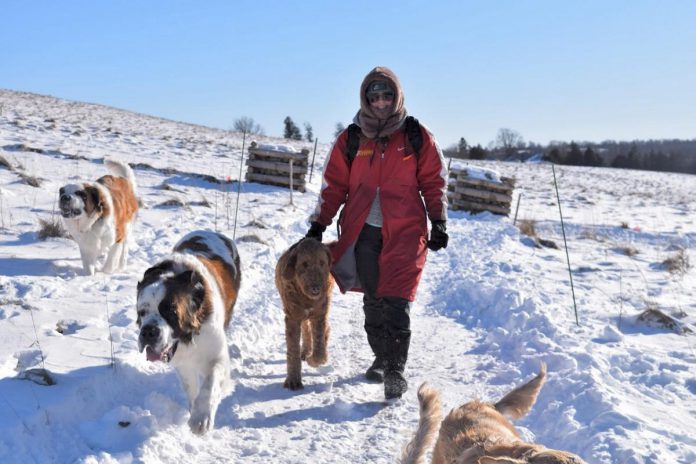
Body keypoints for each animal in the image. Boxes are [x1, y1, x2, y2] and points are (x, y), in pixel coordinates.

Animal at [136, 230, 242, 436]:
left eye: (170, 311)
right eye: (142, 312)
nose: (148, 332)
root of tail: (210, 231)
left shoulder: (217, 356)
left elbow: (210, 385)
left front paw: (201, 419)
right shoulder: (183, 363)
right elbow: (191, 387)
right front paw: (194, 411)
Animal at [274, 237, 334, 390]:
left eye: (322, 262)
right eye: (304, 264)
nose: (316, 288)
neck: (307, 299)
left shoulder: (319, 314)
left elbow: (319, 347)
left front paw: (314, 360)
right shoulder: (292, 315)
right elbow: (293, 348)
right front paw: (293, 381)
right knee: (306, 329)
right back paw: (306, 351)